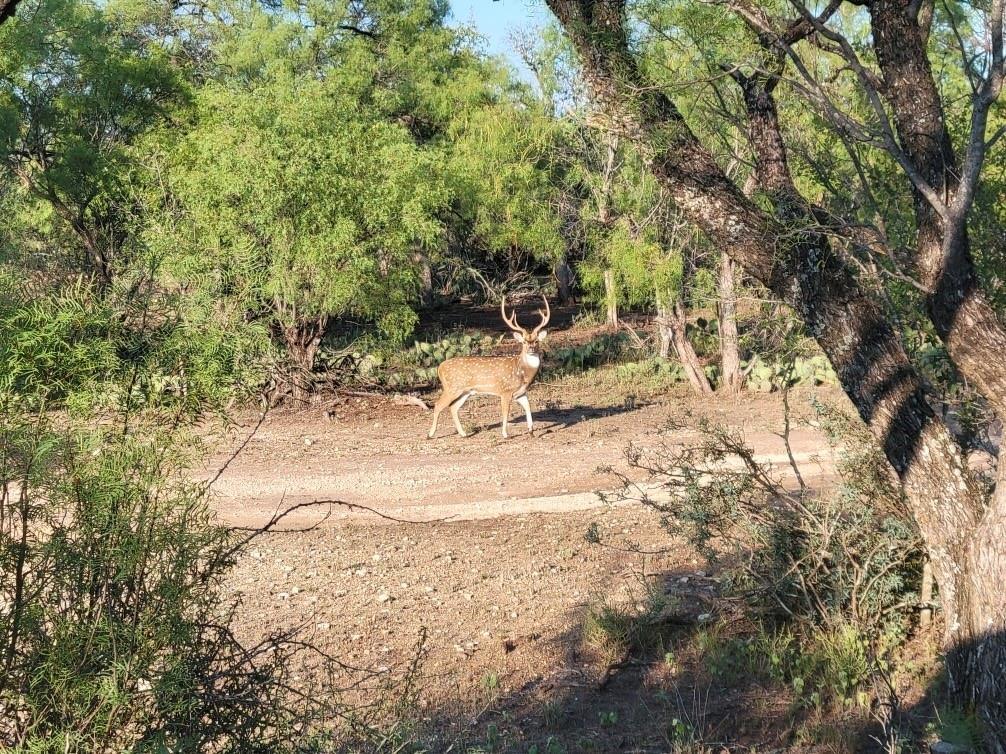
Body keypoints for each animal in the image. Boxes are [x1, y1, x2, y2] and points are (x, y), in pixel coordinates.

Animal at [424, 293, 551, 440]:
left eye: (536, 341)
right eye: (524, 342)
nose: (531, 348)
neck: (523, 373)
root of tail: (439, 368)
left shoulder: (521, 392)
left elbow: (528, 407)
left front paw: (531, 431)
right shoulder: (505, 391)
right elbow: (505, 412)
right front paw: (505, 434)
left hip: (465, 391)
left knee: (453, 407)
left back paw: (463, 433)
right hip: (452, 387)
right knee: (438, 405)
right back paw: (430, 434)